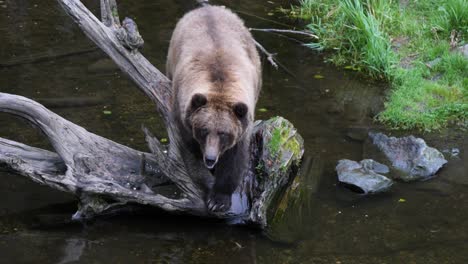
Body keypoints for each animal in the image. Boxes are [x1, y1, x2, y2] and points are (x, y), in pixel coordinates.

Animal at [167, 5, 264, 211]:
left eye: (223, 133)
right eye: (204, 130)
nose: (211, 158)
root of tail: (206, 7)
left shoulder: (242, 125)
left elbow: (234, 160)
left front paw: (219, 199)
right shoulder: (184, 117)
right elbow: (190, 152)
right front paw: (205, 183)